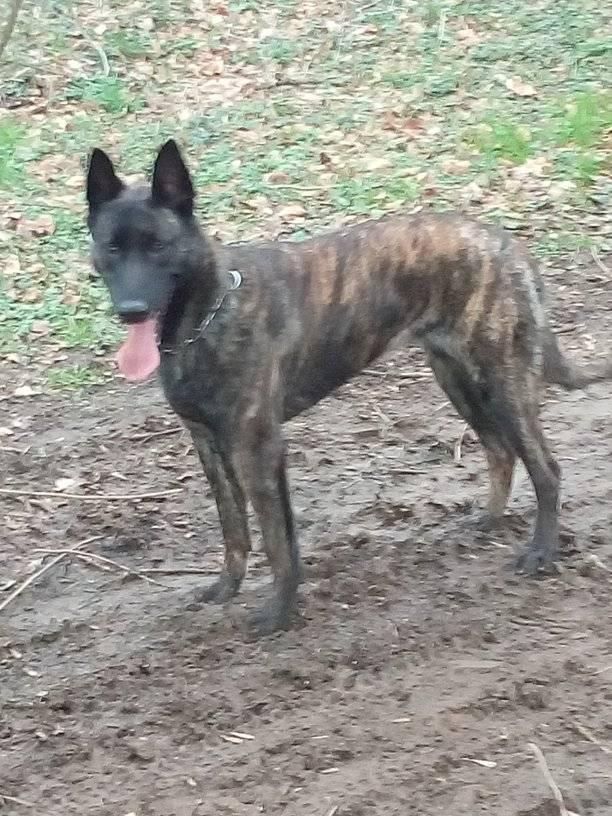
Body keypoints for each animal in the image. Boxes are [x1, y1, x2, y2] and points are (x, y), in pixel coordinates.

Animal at [86, 139, 612, 635]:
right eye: (112, 248)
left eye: (158, 246)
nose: (131, 310)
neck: (207, 314)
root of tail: (508, 244)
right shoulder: (209, 445)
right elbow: (236, 530)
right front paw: (227, 589)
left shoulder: (257, 448)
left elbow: (277, 541)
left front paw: (279, 612)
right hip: (459, 380)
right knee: (500, 451)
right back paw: (489, 521)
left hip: (504, 382)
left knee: (546, 469)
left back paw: (541, 553)